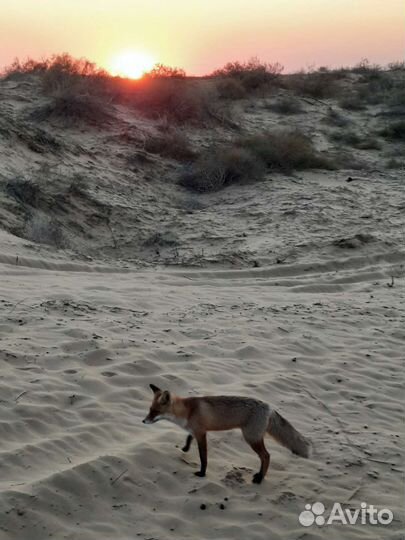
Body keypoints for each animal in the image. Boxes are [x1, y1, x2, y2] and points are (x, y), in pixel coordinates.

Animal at [142, 384, 310, 486]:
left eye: (155, 411)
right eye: (149, 409)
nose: (143, 421)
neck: (188, 411)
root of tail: (269, 407)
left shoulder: (202, 434)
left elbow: (203, 457)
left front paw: (202, 473)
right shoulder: (197, 430)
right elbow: (189, 437)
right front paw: (185, 448)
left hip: (251, 438)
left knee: (266, 456)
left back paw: (260, 478)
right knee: (265, 457)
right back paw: (259, 475)